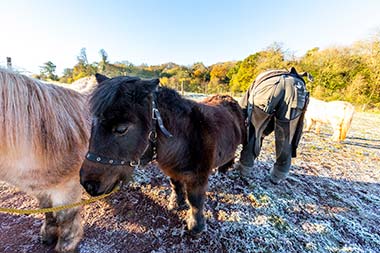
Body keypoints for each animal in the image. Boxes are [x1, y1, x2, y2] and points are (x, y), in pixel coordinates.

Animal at [80, 74, 245, 234]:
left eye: (121, 129)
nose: (88, 185)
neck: (185, 139)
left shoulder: (198, 178)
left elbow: (195, 201)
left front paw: (196, 227)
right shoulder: (172, 170)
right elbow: (176, 185)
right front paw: (176, 203)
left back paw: (224, 169)